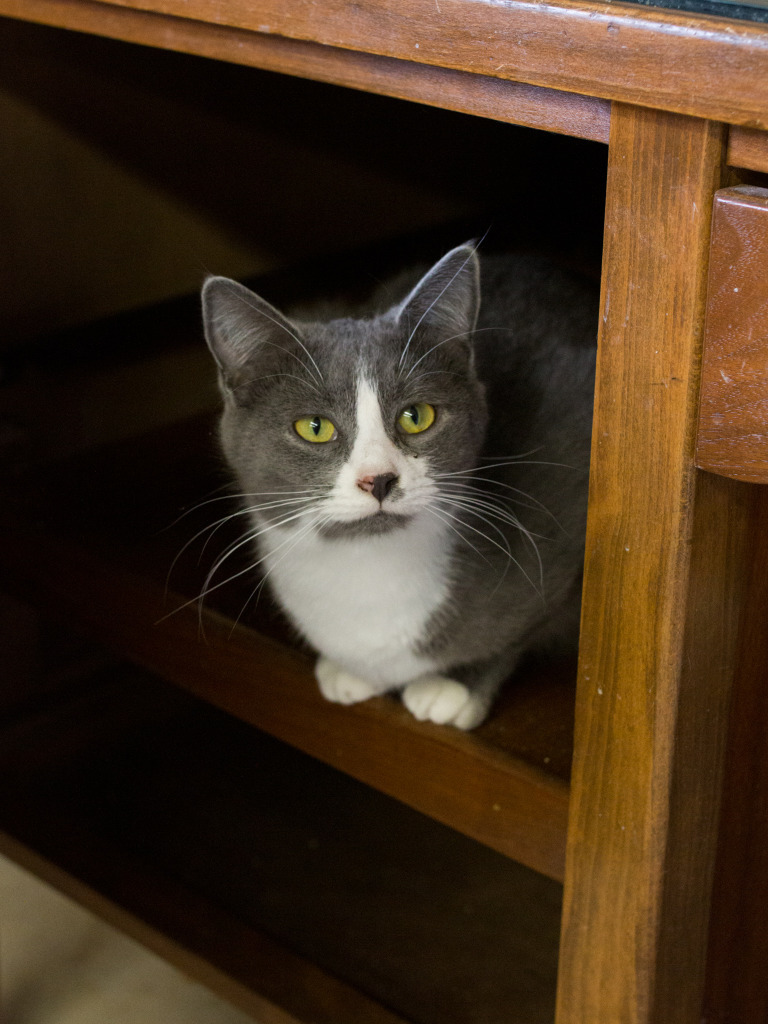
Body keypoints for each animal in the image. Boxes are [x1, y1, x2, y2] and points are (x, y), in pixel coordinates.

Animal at [201, 242, 598, 729]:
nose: (379, 479)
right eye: (314, 427)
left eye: (416, 415)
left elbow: (523, 630)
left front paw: (455, 683)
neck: (368, 565)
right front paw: (348, 671)